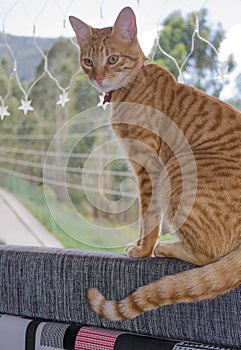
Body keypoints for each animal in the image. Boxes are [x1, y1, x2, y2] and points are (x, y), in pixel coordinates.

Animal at [68, 7, 240, 320]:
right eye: (88, 61)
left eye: (113, 59)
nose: (98, 78)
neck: (130, 89)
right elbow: (145, 215)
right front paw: (139, 246)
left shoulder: (149, 164)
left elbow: (148, 215)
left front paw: (143, 249)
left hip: (178, 169)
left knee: (208, 255)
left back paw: (165, 247)